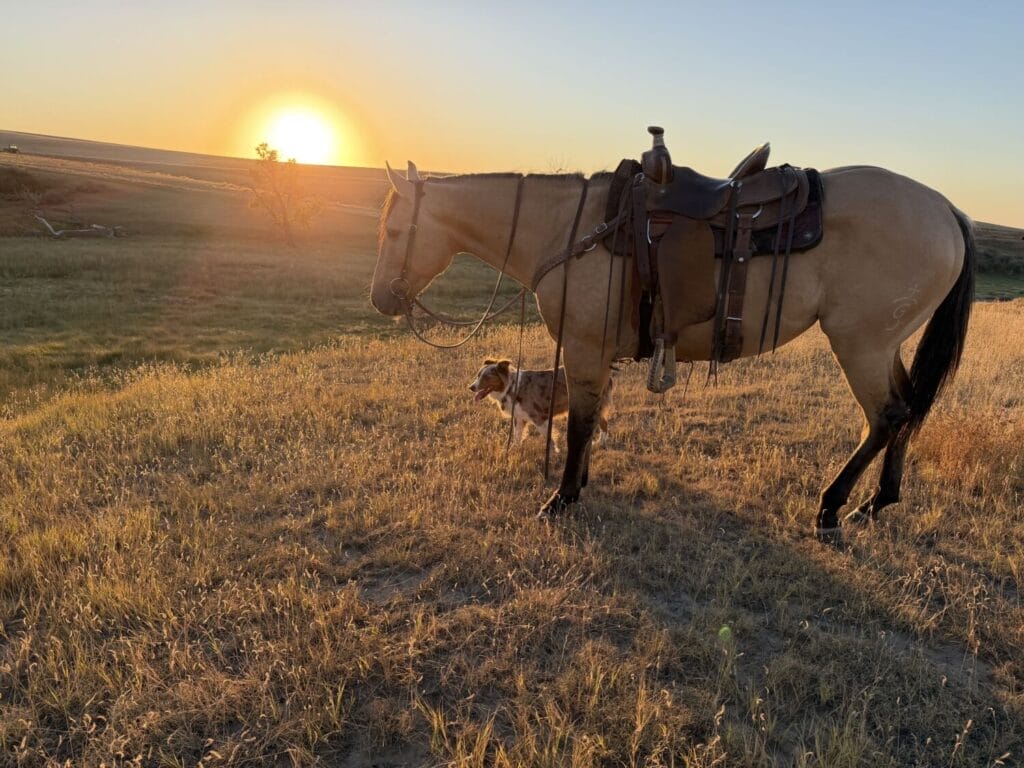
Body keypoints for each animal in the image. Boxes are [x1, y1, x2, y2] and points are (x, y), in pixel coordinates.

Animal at [370, 158, 974, 542]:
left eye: (395, 231)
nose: (380, 299)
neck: (570, 231)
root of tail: (947, 208)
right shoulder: (599, 358)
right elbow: (591, 419)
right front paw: (578, 485)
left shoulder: (584, 350)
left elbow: (580, 425)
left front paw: (560, 499)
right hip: (883, 345)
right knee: (909, 408)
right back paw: (878, 502)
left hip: (860, 344)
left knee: (886, 416)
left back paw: (831, 507)